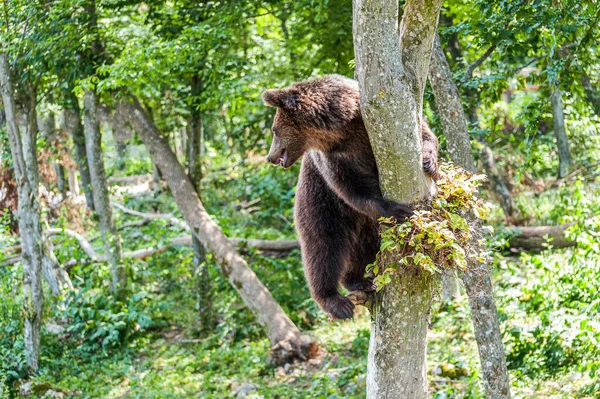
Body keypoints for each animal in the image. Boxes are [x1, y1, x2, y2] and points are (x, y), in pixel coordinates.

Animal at [262, 74, 440, 318]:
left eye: (274, 130)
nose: (269, 157)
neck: (341, 130)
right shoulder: (333, 160)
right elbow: (353, 189)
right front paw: (397, 209)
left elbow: (426, 135)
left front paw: (429, 162)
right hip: (320, 203)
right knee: (323, 246)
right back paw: (336, 300)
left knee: (363, 244)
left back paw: (359, 280)